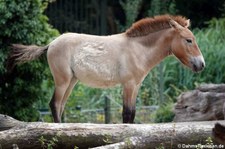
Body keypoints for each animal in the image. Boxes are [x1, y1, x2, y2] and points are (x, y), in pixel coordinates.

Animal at [9, 14, 206, 123]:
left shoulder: (135, 86)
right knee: (55, 104)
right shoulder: (128, 85)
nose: (201, 64)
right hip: (62, 81)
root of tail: (51, 44)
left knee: (60, 106)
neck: (138, 49)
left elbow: (132, 113)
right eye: (189, 40)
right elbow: (127, 114)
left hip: (71, 82)